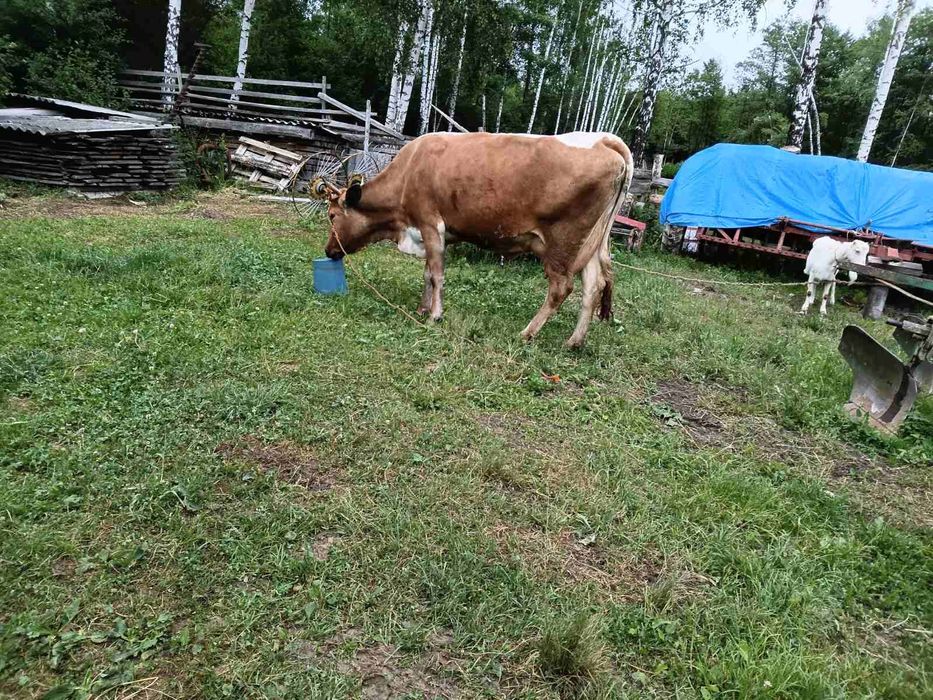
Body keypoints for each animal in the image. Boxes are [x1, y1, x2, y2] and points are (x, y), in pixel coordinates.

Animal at [319, 131, 634, 348]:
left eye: (333, 215)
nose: (329, 249)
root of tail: (603, 139)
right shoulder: (431, 232)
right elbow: (427, 274)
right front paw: (422, 308)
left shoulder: (430, 223)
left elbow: (437, 274)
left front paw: (434, 315)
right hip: (590, 243)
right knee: (594, 286)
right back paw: (574, 341)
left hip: (563, 243)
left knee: (562, 288)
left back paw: (527, 332)